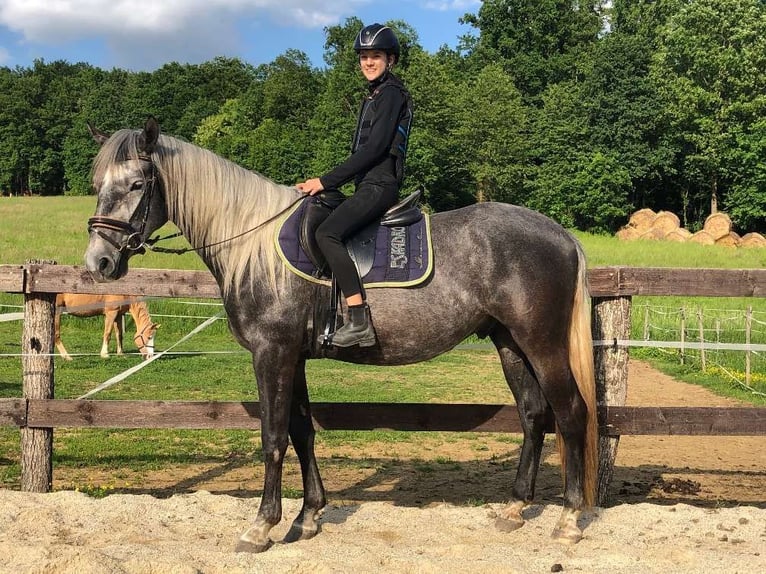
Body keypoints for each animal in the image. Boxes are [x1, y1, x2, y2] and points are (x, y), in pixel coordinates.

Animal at [82, 118, 600, 552]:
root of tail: (560, 234)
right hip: (509, 341)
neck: (251, 242)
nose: (98, 263)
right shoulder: (294, 356)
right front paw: (308, 517)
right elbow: (302, 431)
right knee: (533, 414)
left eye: (137, 184)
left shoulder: (271, 353)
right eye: (96, 185)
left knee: (571, 413)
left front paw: (261, 526)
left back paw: (569, 518)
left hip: (542, 342)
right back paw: (514, 508)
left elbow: (273, 436)